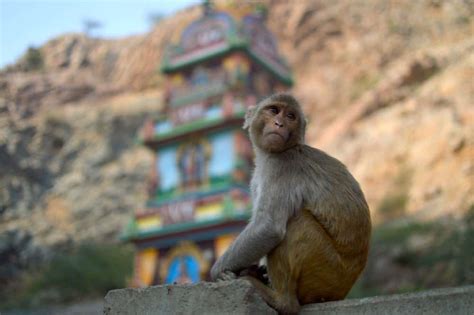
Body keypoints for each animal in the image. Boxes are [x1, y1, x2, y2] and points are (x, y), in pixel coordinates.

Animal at [210, 92, 370, 314]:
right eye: (274, 110)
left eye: (291, 116)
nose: (279, 123)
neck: (275, 153)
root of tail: (343, 290)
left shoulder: (282, 168)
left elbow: (268, 227)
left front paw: (218, 271)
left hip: (328, 271)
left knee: (298, 222)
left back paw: (280, 299)